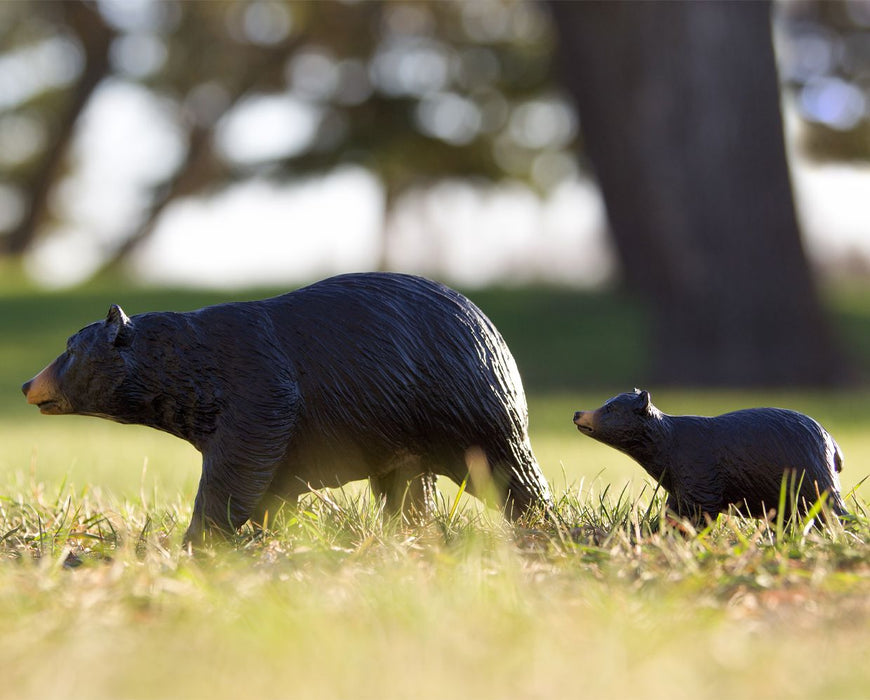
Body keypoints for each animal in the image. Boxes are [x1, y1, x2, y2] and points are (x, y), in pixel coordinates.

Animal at [22, 272, 553, 544]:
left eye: (69, 349)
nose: (28, 383)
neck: (191, 367)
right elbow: (274, 480)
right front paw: (269, 530)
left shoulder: (258, 382)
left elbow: (243, 460)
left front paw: (199, 538)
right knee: (407, 483)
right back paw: (410, 529)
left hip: (468, 402)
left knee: (508, 468)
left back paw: (538, 524)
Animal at [573, 389, 848, 525]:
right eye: (605, 402)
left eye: (610, 408)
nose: (578, 413)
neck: (668, 444)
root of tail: (833, 444)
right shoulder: (680, 480)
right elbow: (675, 507)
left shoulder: (697, 467)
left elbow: (699, 508)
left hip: (808, 470)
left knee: (828, 507)